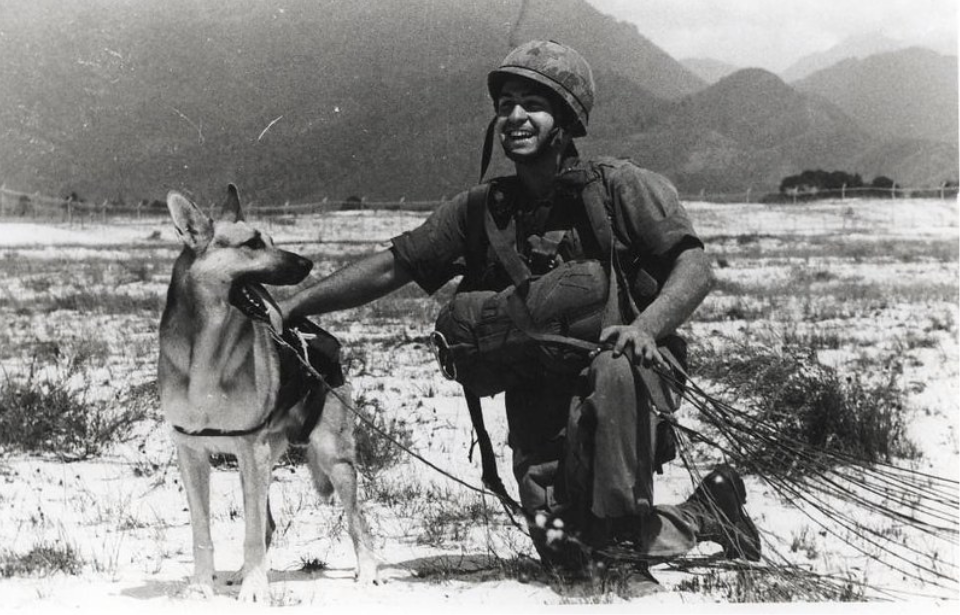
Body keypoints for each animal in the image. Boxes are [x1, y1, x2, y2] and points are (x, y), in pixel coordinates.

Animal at [158, 186, 378, 600]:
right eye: (254, 244)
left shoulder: (250, 453)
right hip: (262, 462)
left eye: (272, 240)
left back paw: (369, 573)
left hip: (331, 457)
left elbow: (251, 534)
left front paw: (256, 590)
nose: (308, 263)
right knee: (267, 525)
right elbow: (202, 533)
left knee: (358, 521)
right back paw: (242, 572)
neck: (206, 355)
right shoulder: (192, 454)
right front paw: (201, 586)